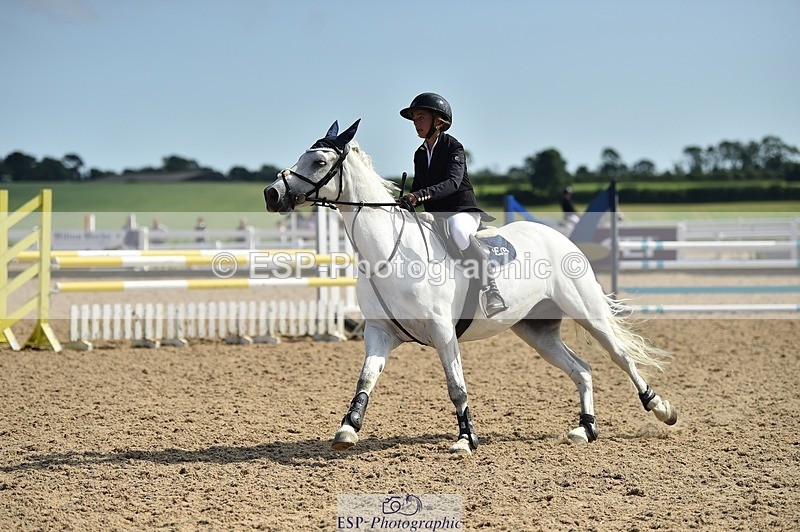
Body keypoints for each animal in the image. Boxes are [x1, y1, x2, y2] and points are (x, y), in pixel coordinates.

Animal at [264, 119, 677, 456]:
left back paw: (661, 409)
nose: (272, 194)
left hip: (586, 312)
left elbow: (456, 386)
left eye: (319, 162)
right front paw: (347, 429)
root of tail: (559, 237)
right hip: (536, 331)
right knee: (583, 369)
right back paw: (584, 430)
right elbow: (365, 379)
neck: (389, 252)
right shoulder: (380, 333)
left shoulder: (443, 330)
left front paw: (465, 439)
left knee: (620, 357)